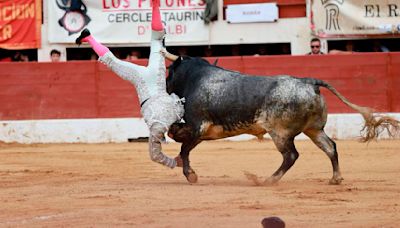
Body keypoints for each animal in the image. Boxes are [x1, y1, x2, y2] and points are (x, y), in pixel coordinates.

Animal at [164, 54, 398, 185]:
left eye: (168, 74)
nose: (165, 87)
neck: (195, 78)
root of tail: (308, 81)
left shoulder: (198, 127)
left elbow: (184, 148)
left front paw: (191, 175)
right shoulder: (203, 131)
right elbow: (180, 142)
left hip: (280, 133)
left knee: (291, 156)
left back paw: (268, 180)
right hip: (314, 129)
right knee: (330, 147)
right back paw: (335, 178)